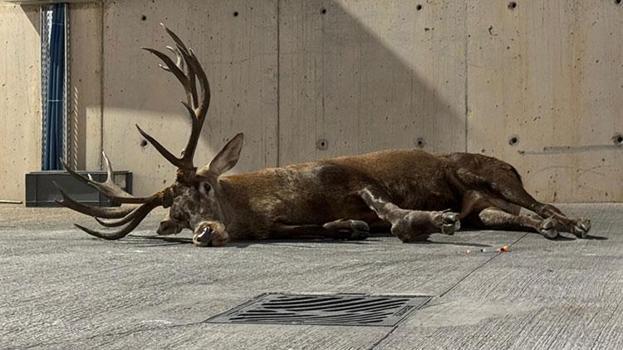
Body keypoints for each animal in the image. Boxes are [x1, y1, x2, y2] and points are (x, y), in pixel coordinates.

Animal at [56, 25, 592, 246]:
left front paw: (431, 220)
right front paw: (348, 227)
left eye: (206, 187)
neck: (277, 201)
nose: (204, 233)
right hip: (486, 208)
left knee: (541, 202)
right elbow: (328, 226)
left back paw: (575, 224)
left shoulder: (351, 177)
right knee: (520, 215)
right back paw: (549, 228)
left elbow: (388, 211)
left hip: (490, 174)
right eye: (177, 216)